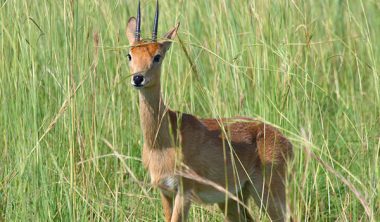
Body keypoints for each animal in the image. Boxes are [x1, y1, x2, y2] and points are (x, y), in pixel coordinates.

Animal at [126, 0, 292, 221]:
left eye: (157, 56)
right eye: (130, 54)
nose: (138, 78)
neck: (162, 142)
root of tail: (286, 141)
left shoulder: (184, 192)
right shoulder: (165, 191)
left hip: (268, 193)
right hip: (235, 198)